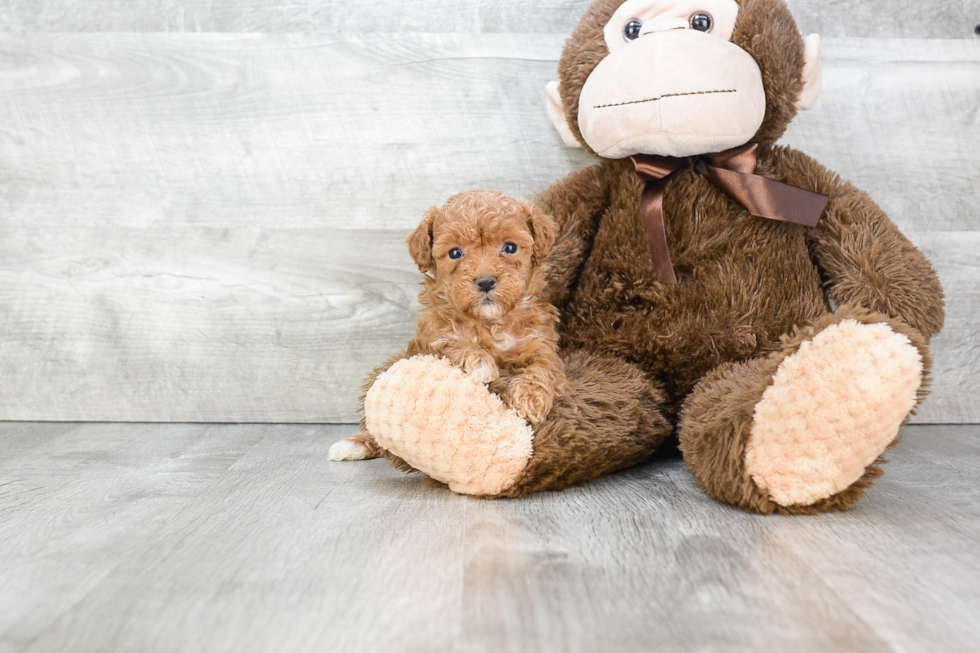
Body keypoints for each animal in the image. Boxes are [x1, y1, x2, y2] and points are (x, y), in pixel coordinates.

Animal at [328, 191, 564, 460]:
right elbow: (452, 343)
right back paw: (354, 443)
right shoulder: (430, 337)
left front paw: (530, 397)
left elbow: (543, 368)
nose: (485, 281)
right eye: (454, 253)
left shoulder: (541, 343)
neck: (489, 322)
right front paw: (479, 362)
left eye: (510, 247)